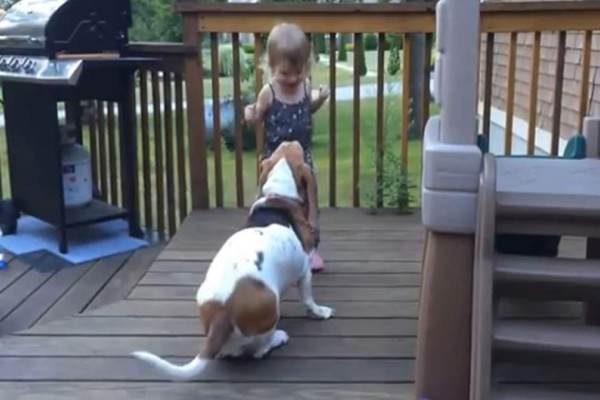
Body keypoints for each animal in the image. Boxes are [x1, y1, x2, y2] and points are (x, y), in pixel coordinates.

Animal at [130, 155, 332, 380]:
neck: (277, 196)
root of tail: (222, 313)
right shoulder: (305, 271)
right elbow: (308, 299)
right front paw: (319, 312)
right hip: (271, 309)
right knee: (259, 350)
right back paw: (278, 338)